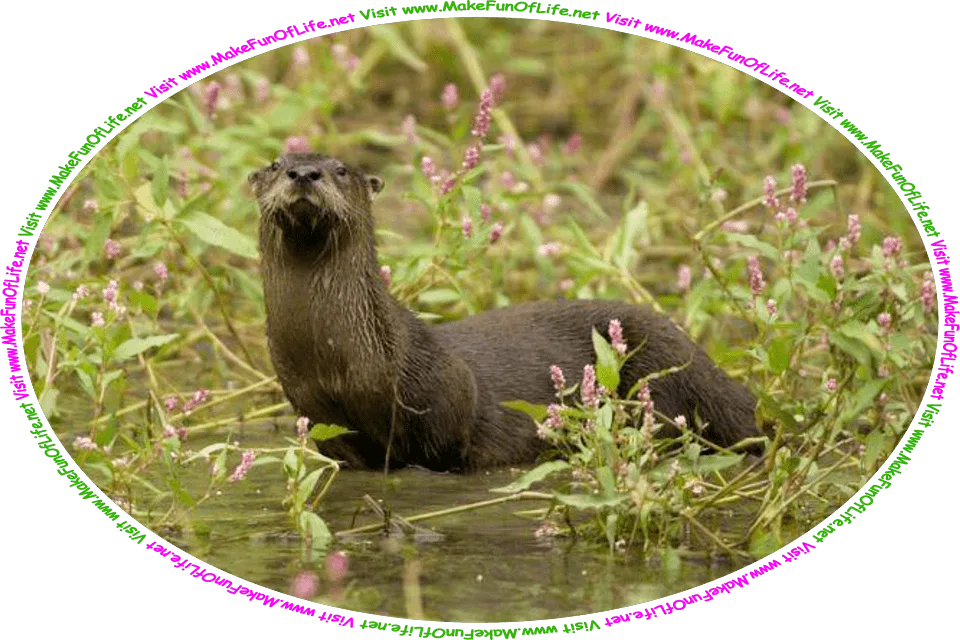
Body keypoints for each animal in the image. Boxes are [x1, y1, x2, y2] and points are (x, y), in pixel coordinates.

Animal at [250, 152, 765, 472]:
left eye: (339, 169)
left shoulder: (447, 395)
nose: (304, 173)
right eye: (276, 164)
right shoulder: (319, 416)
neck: (337, 361)